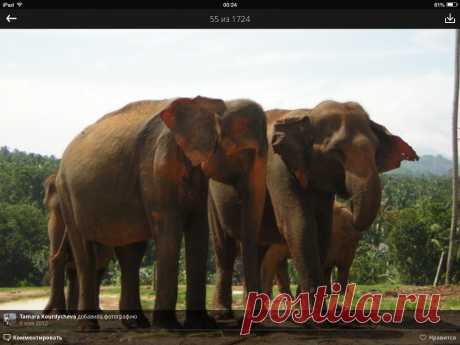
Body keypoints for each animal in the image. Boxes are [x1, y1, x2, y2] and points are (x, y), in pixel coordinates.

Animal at [55, 97, 268, 330]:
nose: (248, 323)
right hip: (66, 194)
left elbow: (198, 231)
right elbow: (169, 230)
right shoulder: (159, 163)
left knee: (131, 253)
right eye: (248, 152)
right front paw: (168, 326)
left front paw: (202, 323)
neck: (214, 104)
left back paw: (137, 324)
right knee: (85, 254)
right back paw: (90, 327)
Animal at [208, 99, 416, 318]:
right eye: (336, 152)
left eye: (376, 151)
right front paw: (310, 315)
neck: (309, 114)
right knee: (225, 249)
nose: (350, 203)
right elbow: (299, 224)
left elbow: (322, 229)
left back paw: (257, 310)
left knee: (257, 250)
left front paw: (308, 311)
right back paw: (223, 312)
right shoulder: (278, 167)